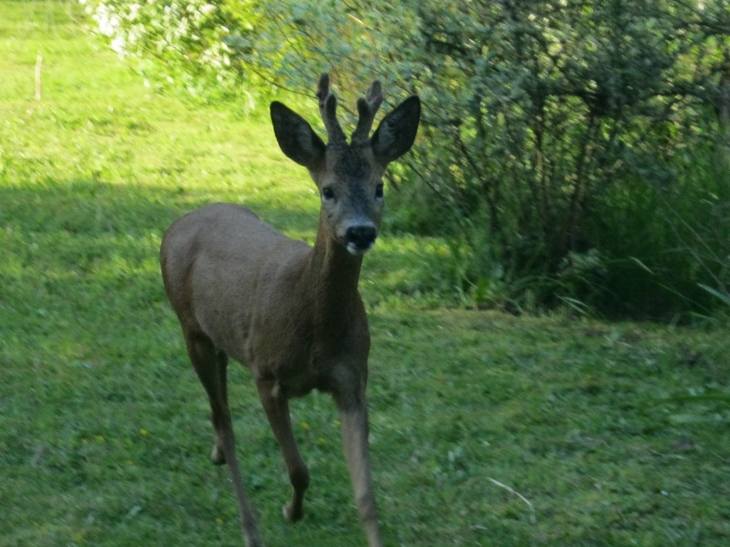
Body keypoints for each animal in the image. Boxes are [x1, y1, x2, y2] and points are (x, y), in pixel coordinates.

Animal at [159, 74, 420, 547]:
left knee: (218, 414)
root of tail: (180, 223)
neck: (315, 326)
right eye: (327, 190)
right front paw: (289, 511)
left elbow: (366, 495)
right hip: (190, 328)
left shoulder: (353, 378)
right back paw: (249, 527)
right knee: (224, 419)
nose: (359, 232)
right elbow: (299, 470)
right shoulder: (267, 373)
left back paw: (217, 456)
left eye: (379, 187)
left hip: (220, 338)